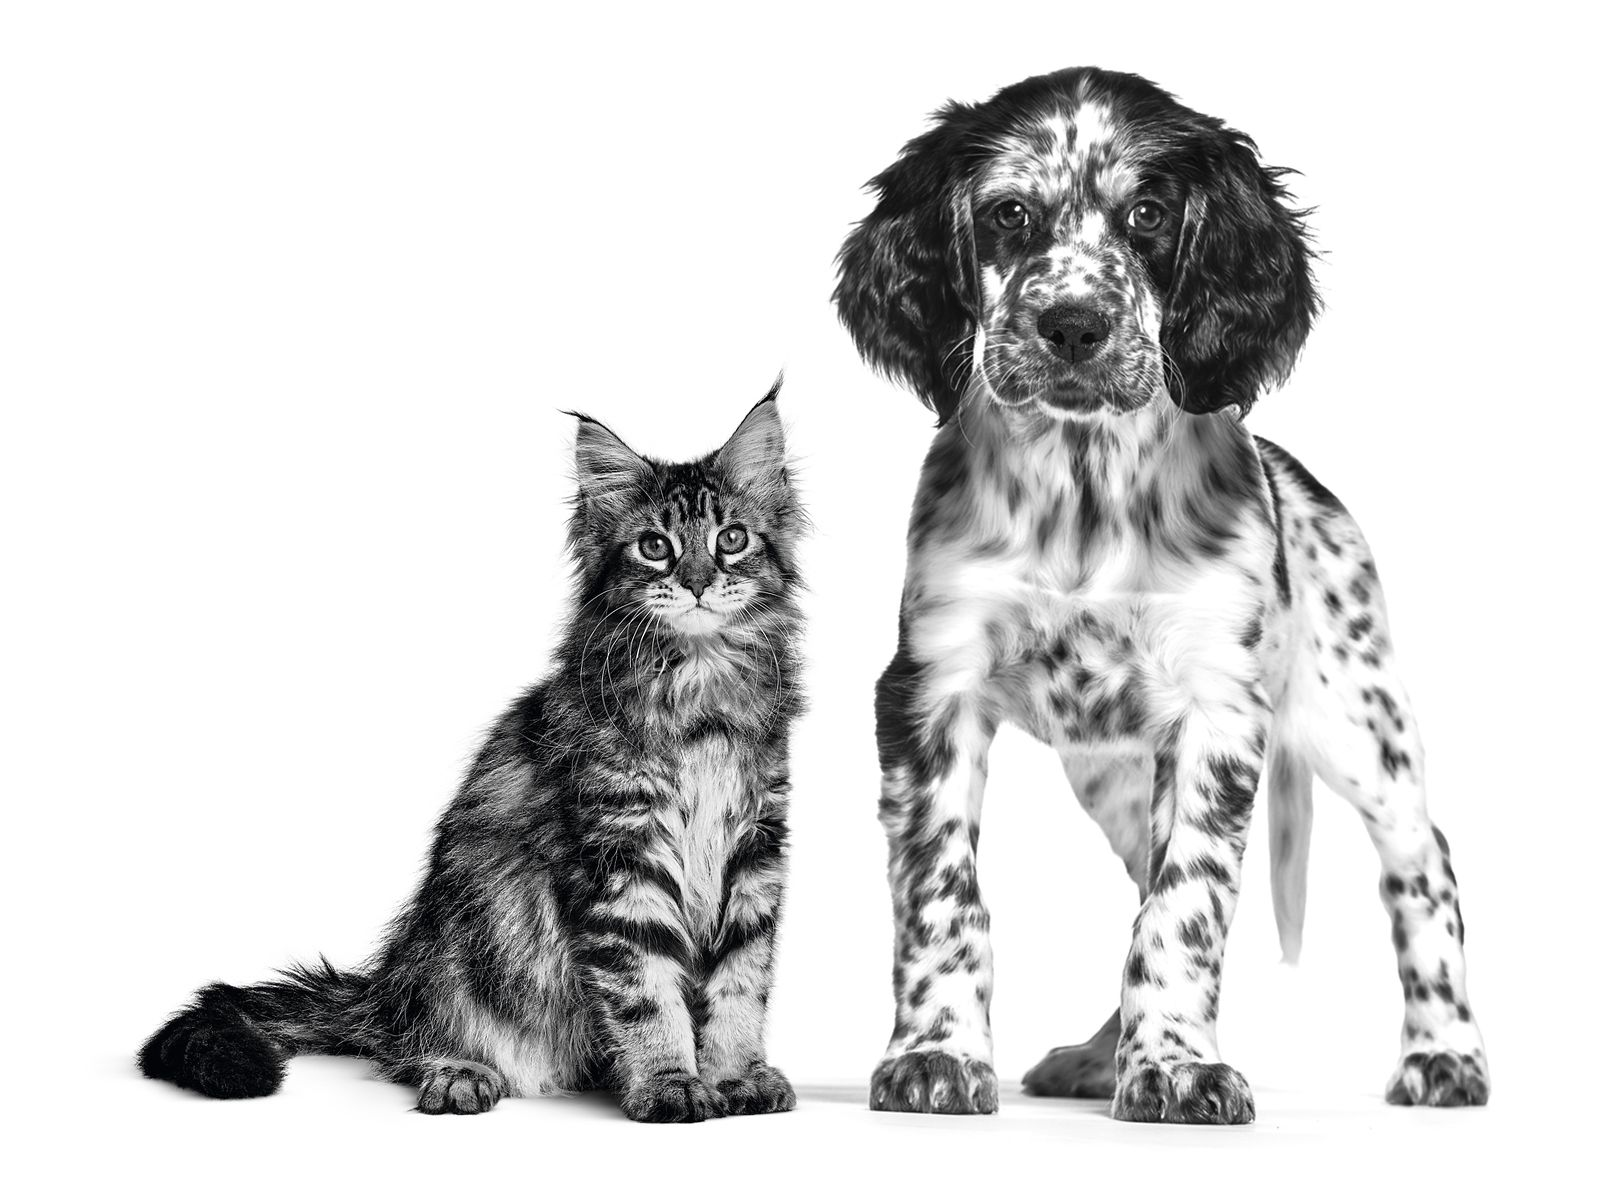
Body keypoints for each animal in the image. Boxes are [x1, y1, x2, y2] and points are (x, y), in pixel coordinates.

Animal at [139, 388, 805, 1124]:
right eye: (655, 547)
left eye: (731, 540)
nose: (696, 583)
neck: (701, 687)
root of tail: (385, 987)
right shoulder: (618, 854)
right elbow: (645, 991)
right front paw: (668, 1081)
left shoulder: (756, 848)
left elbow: (742, 982)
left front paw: (737, 1075)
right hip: (465, 943)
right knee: (413, 1045)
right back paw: (459, 1073)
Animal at [837, 66, 1487, 1124]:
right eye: (1009, 213)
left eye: (1148, 214)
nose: (1072, 327)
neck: (1084, 485)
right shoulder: (932, 687)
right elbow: (945, 894)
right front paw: (937, 1054)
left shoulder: (1219, 710)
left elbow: (1183, 910)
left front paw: (1178, 1067)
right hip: (1112, 774)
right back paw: (1097, 1058)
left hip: (1359, 723)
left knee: (1422, 862)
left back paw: (1445, 1054)